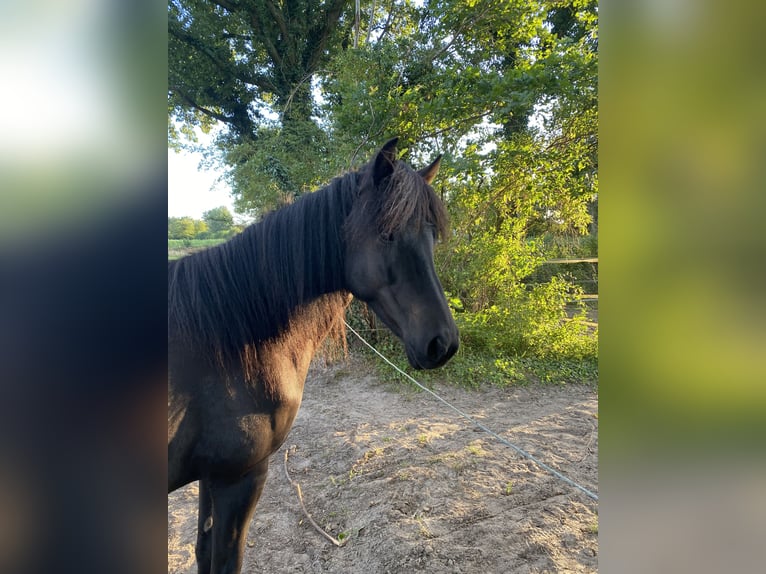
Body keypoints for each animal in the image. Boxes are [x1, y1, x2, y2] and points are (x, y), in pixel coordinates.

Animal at [168, 140, 460, 574]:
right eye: (387, 234)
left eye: (431, 237)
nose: (444, 343)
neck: (223, 338)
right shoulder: (238, 477)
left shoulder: (212, 475)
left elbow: (203, 554)